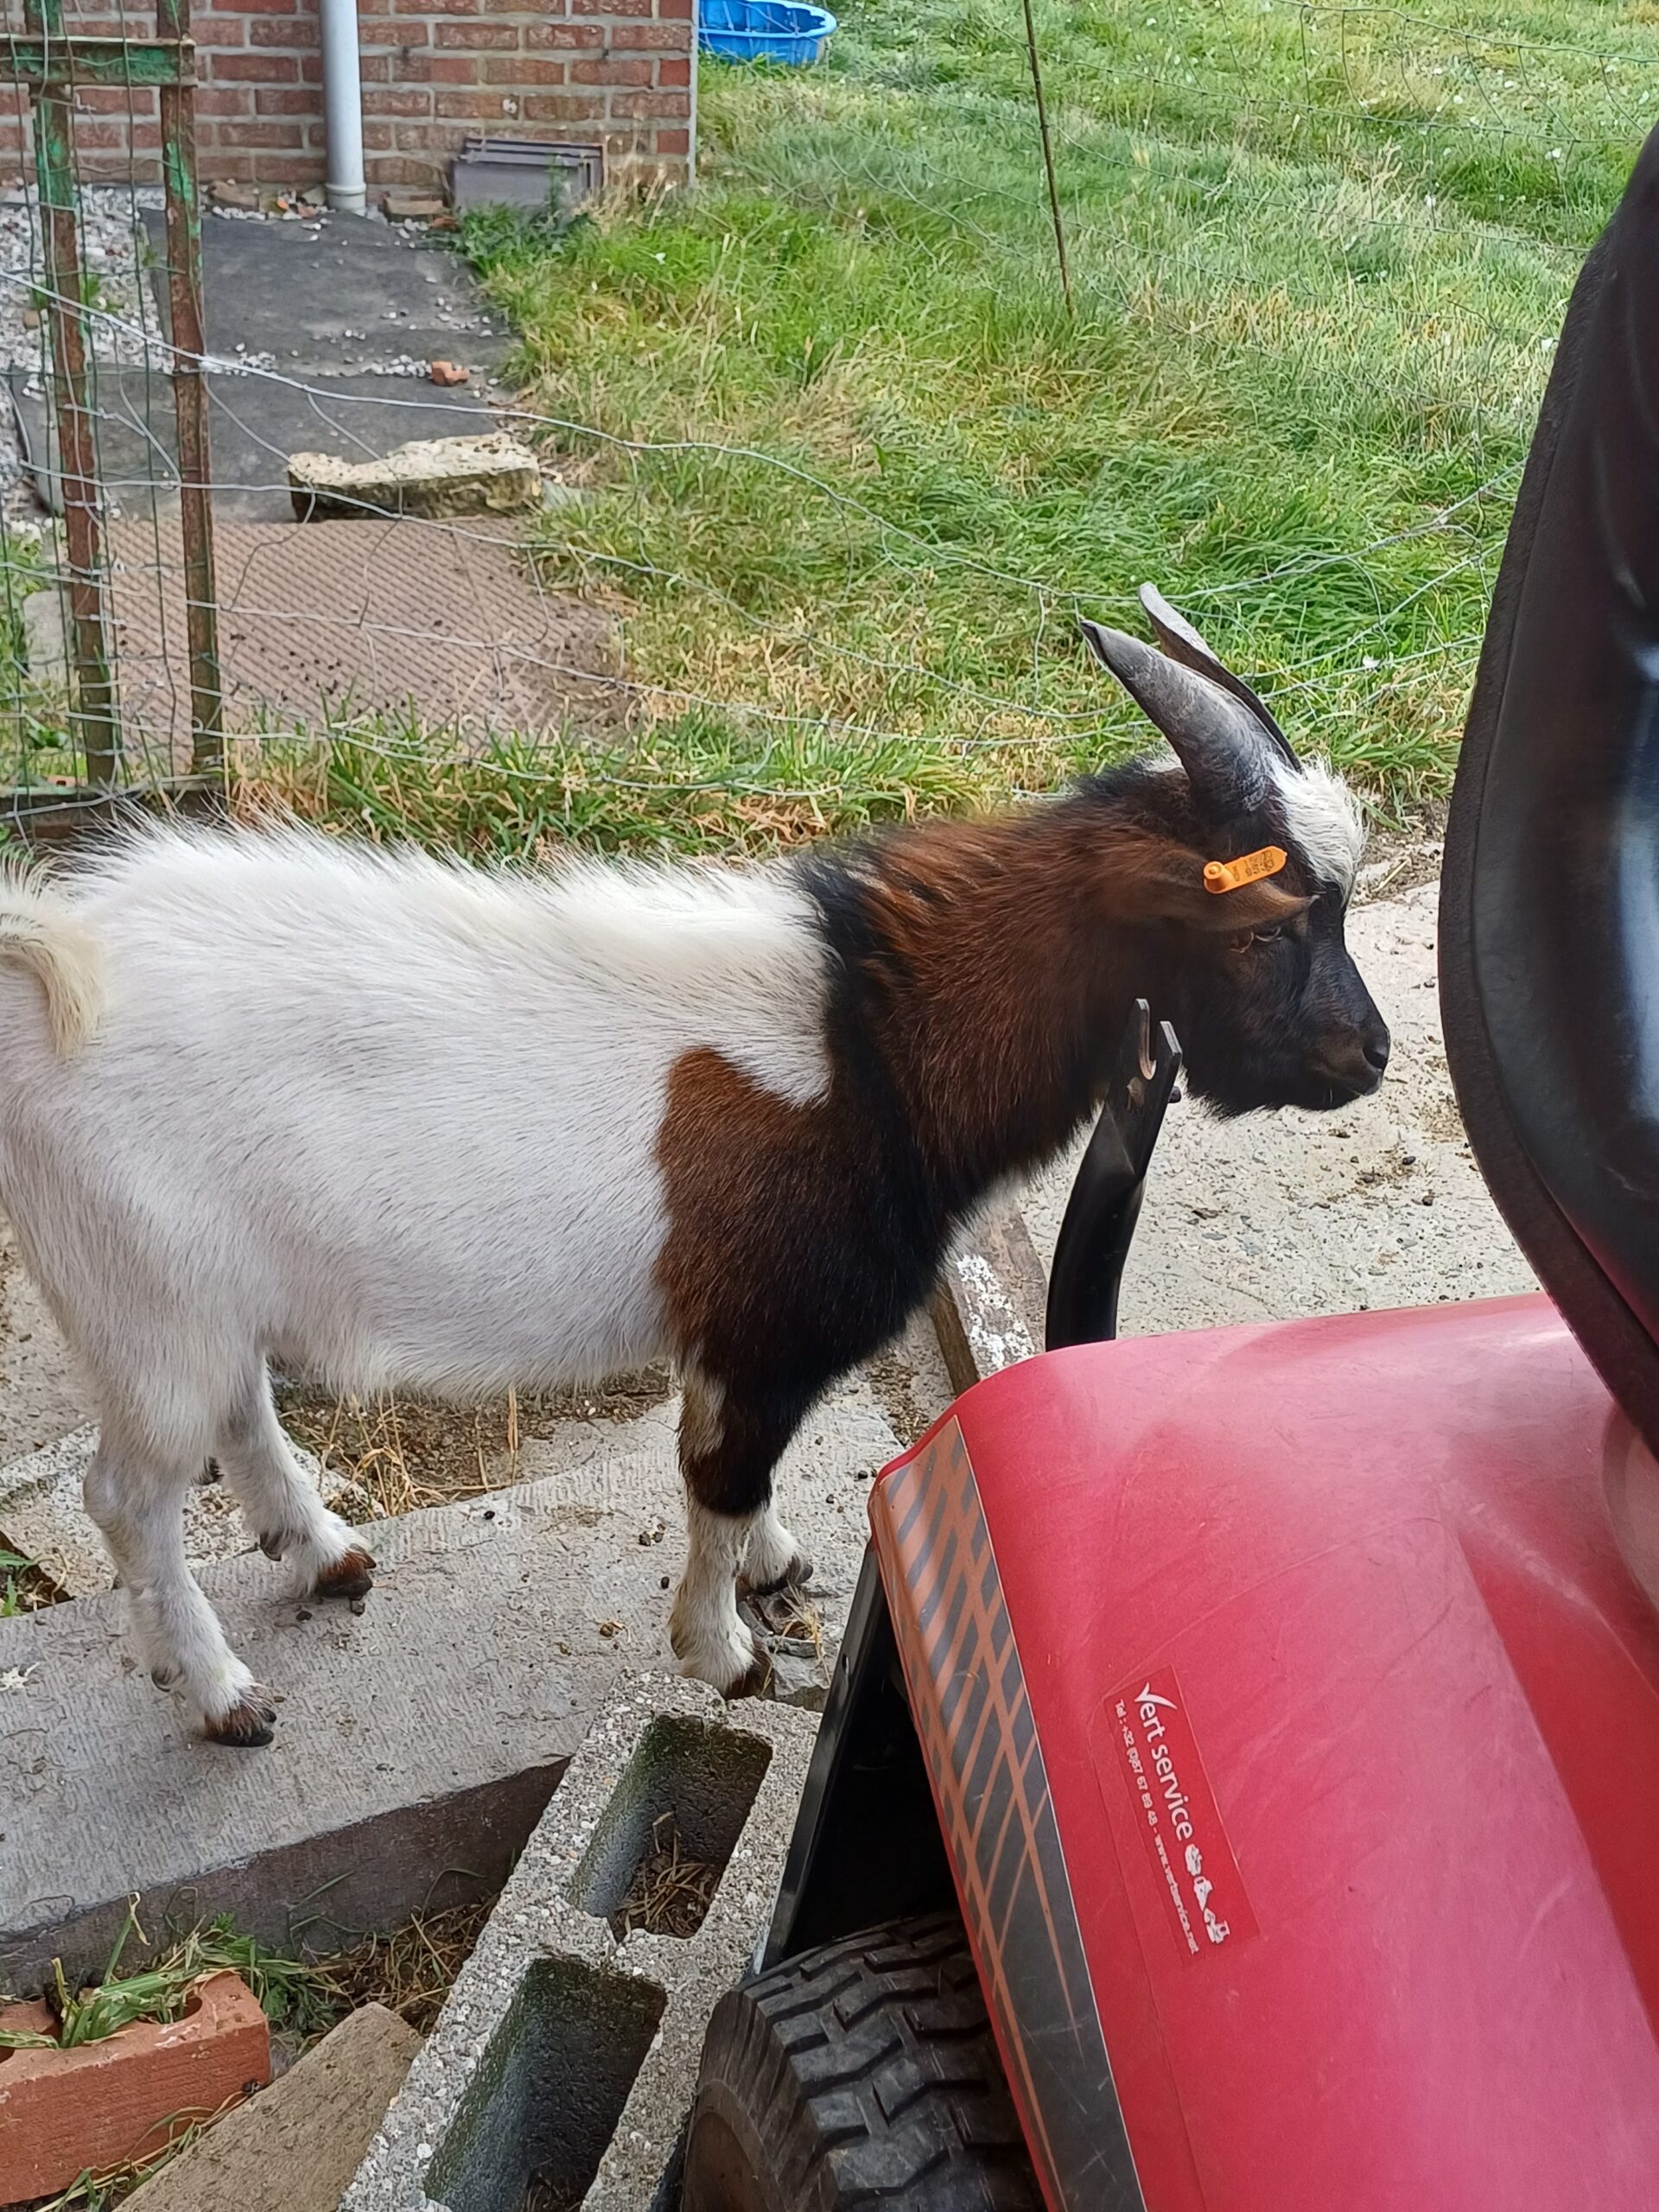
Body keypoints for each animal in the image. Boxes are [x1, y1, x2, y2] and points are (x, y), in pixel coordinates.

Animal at [0, 592, 1388, 1745]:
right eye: (1267, 930)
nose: (1369, 1055)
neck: (872, 1047)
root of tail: (53, 962)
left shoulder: (746, 1341)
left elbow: (745, 1482)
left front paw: (774, 1567)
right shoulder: (766, 1332)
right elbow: (719, 1480)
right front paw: (727, 1655)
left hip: (196, 1297)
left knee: (240, 1410)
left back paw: (327, 1555)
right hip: (142, 1302)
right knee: (127, 1495)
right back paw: (222, 1694)